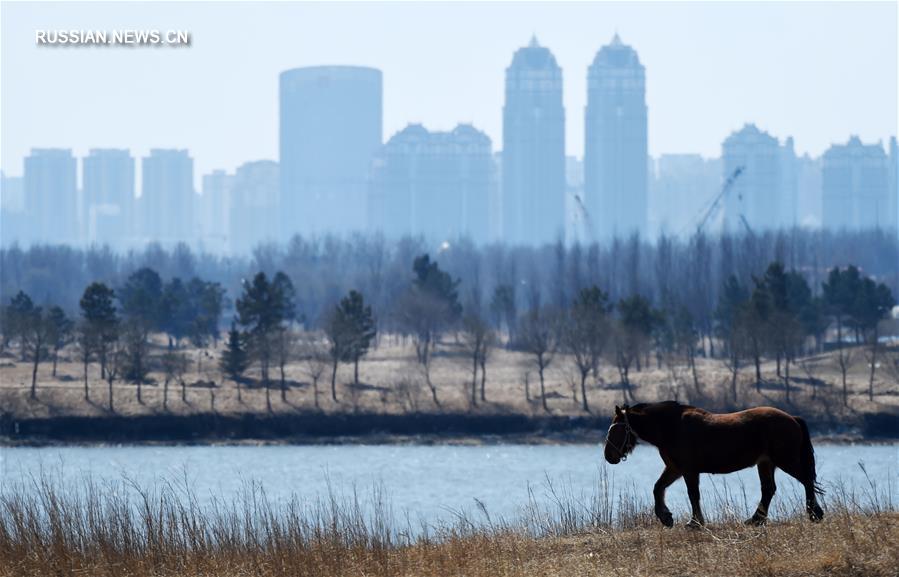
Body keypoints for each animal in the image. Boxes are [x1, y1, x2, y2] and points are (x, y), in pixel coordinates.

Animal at [604, 400, 824, 528]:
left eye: (616, 429)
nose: (609, 456)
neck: (671, 427)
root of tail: (792, 418)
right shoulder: (675, 468)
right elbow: (658, 488)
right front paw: (665, 517)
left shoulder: (688, 470)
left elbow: (693, 495)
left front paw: (695, 522)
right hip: (766, 463)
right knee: (769, 489)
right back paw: (756, 520)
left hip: (786, 460)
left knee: (806, 481)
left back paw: (814, 513)